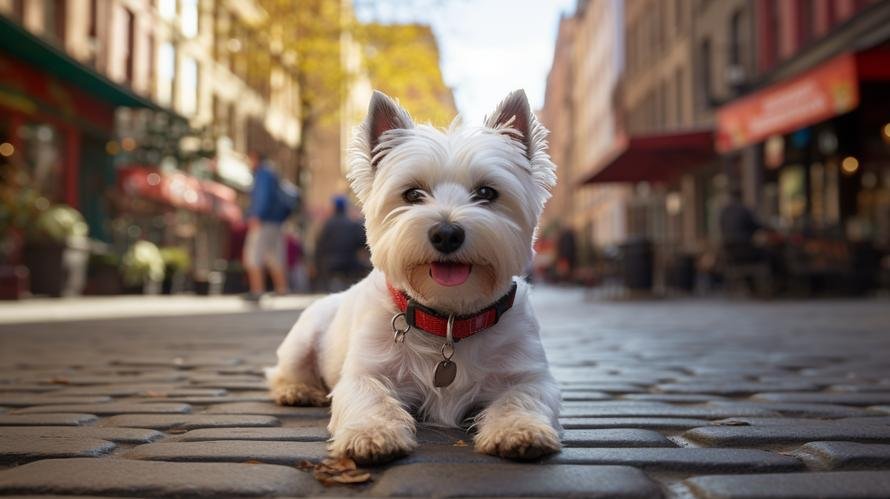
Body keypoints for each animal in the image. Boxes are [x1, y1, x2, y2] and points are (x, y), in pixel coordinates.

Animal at [264, 90, 560, 464]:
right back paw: (297, 390)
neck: (448, 321)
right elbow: (371, 396)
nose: (446, 233)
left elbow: (520, 397)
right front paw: (371, 433)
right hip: (303, 338)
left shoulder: (528, 373)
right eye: (413, 194)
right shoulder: (366, 371)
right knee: (282, 371)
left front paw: (519, 430)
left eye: (486, 193)